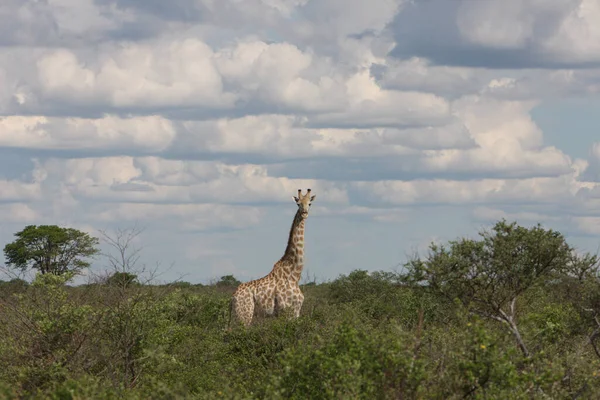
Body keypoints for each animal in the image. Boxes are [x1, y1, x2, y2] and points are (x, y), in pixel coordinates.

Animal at [229, 189, 316, 326]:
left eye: (310, 204)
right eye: (298, 204)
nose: (304, 213)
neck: (294, 275)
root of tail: (233, 297)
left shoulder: (296, 312)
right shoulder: (285, 311)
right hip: (245, 315)